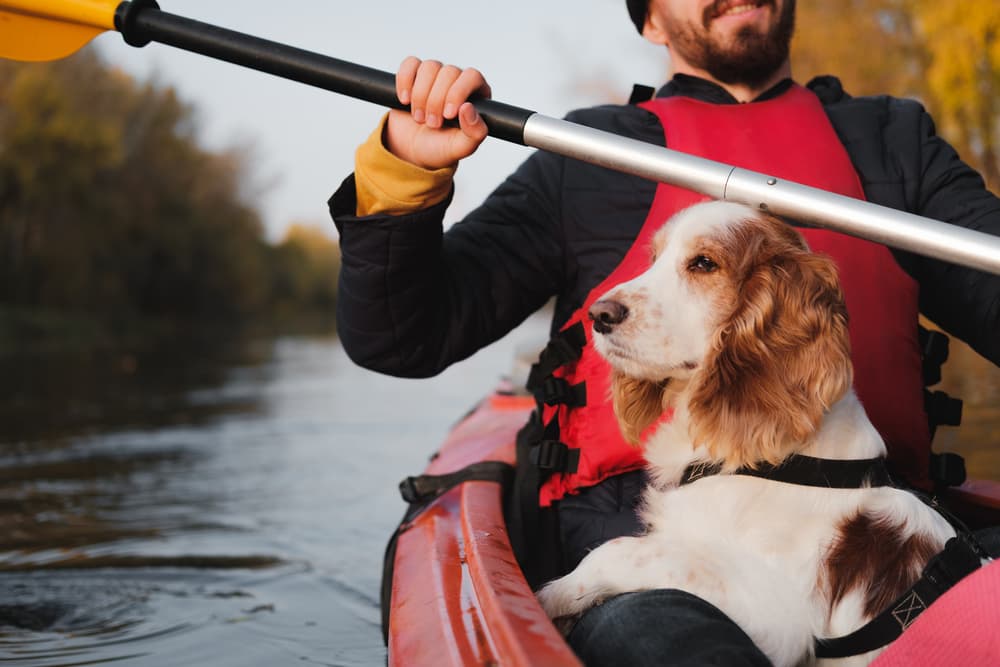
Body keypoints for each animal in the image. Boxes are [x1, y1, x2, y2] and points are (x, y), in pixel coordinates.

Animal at [536, 201, 956, 664]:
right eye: (655, 258)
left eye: (704, 263)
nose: (599, 315)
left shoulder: (782, 617)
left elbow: (623, 549)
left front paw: (551, 595)